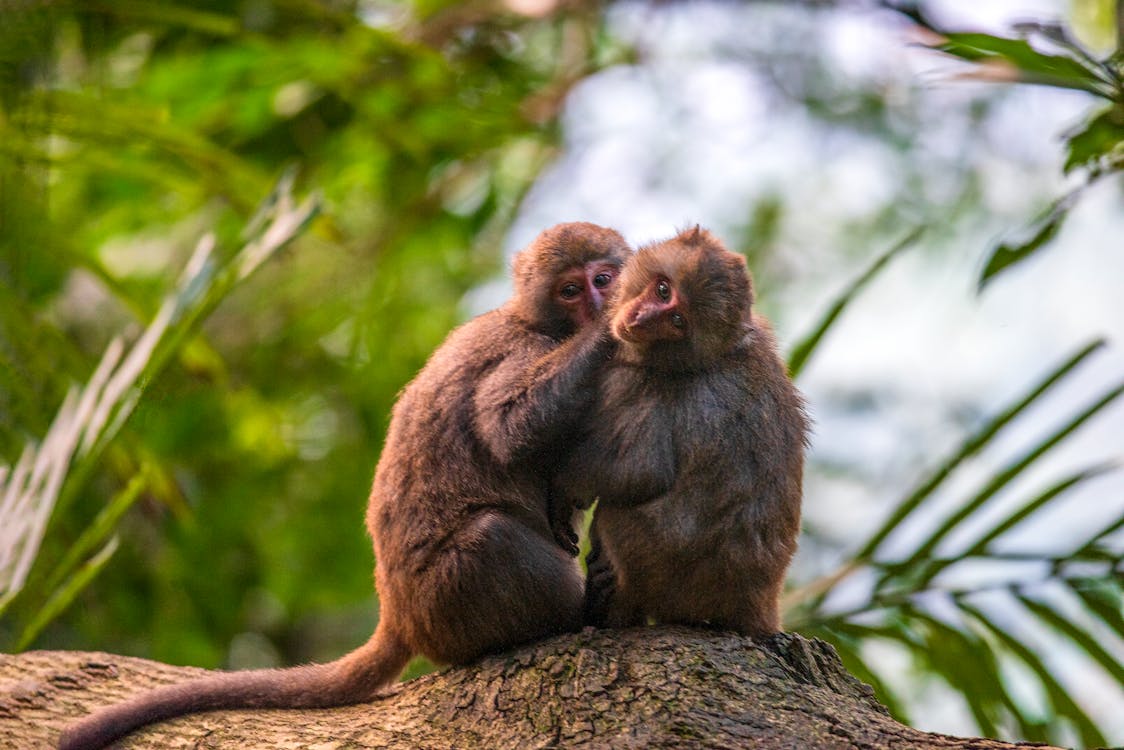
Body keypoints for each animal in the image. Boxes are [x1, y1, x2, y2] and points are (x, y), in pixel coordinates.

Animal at [59, 222, 633, 750]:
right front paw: (608, 330)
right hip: (449, 600)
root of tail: (399, 615)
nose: (597, 302)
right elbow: (511, 429)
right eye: (572, 290)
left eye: (602, 278)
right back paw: (580, 613)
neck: (539, 324)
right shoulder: (520, 347)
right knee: (492, 535)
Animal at [555, 227, 804, 638]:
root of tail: (757, 602)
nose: (640, 318)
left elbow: (641, 472)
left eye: (676, 321)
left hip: (661, 572)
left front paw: (563, 488)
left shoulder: (632, 379)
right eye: (662, 289)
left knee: (617, 513)